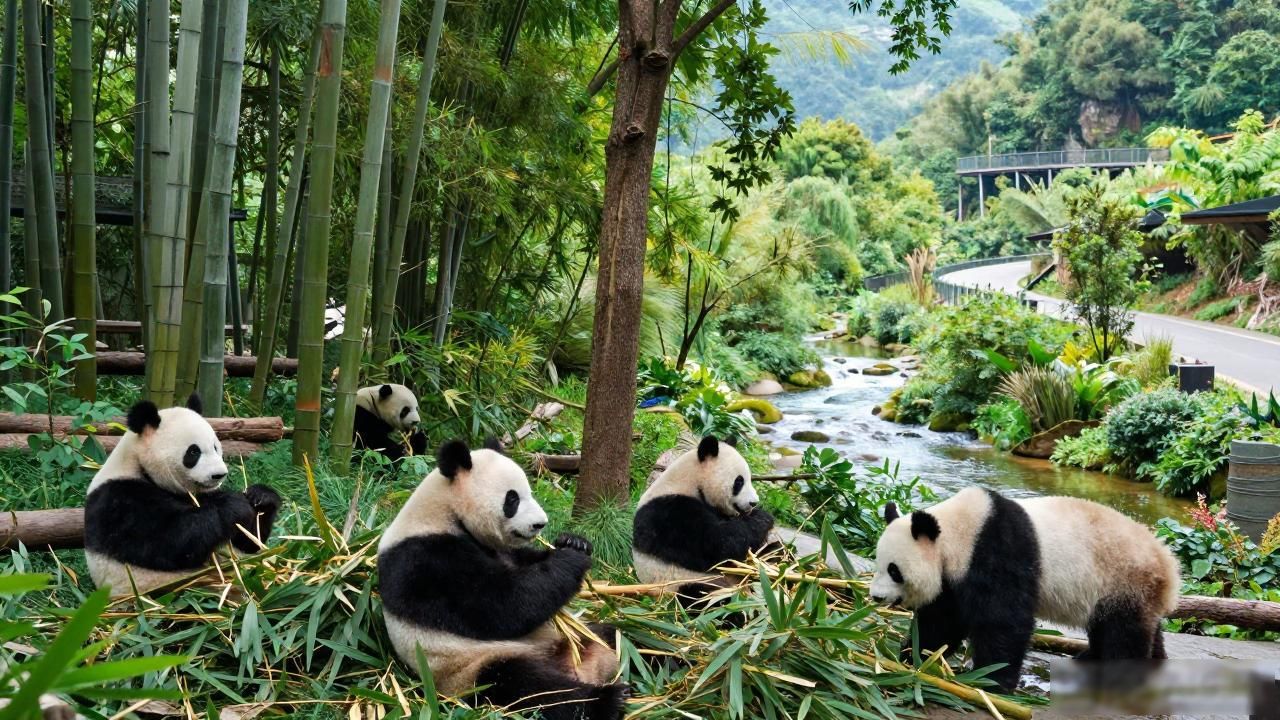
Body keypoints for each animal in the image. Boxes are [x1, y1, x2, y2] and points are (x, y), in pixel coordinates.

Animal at [83, 394, 282, 597]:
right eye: (193, 451)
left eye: (215, 447)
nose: (219, 475)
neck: (138, 464)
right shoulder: (120, 499)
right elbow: (171, 543)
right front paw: (234, 505)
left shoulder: (202, 494)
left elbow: (248, 543)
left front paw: (261, 497)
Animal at [378, 439, 628, 720]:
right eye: (512, 499)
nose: (541, 524)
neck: (445, 511)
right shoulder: (427, 560)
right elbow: (503, 606)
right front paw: (571, 558)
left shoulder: (502, 551)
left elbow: (525, 565)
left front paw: (574, 542)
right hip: (472, 669)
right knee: (527, 686)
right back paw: (607, 700)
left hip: (578, 636)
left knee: (617, 636)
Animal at [632, 435, 775, 597]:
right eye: (739, 481)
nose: (754, 502)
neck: (690, 481)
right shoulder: (669, 513)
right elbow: (717, 544)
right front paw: (763, 517)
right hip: (679, 582)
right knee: (702, 593)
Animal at [870, 487, 1181, 691]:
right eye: (878, 564)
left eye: (894, 570)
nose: (875, 596)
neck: (958, 531)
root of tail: (1170, 568)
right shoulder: (953, 579)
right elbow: (941, 622)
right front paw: (911, 657)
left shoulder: (998, 552)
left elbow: (1004, 622)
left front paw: (991, 681)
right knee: (1124, 627)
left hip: (1124, 580)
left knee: (1123, 634)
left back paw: (1119, 679)